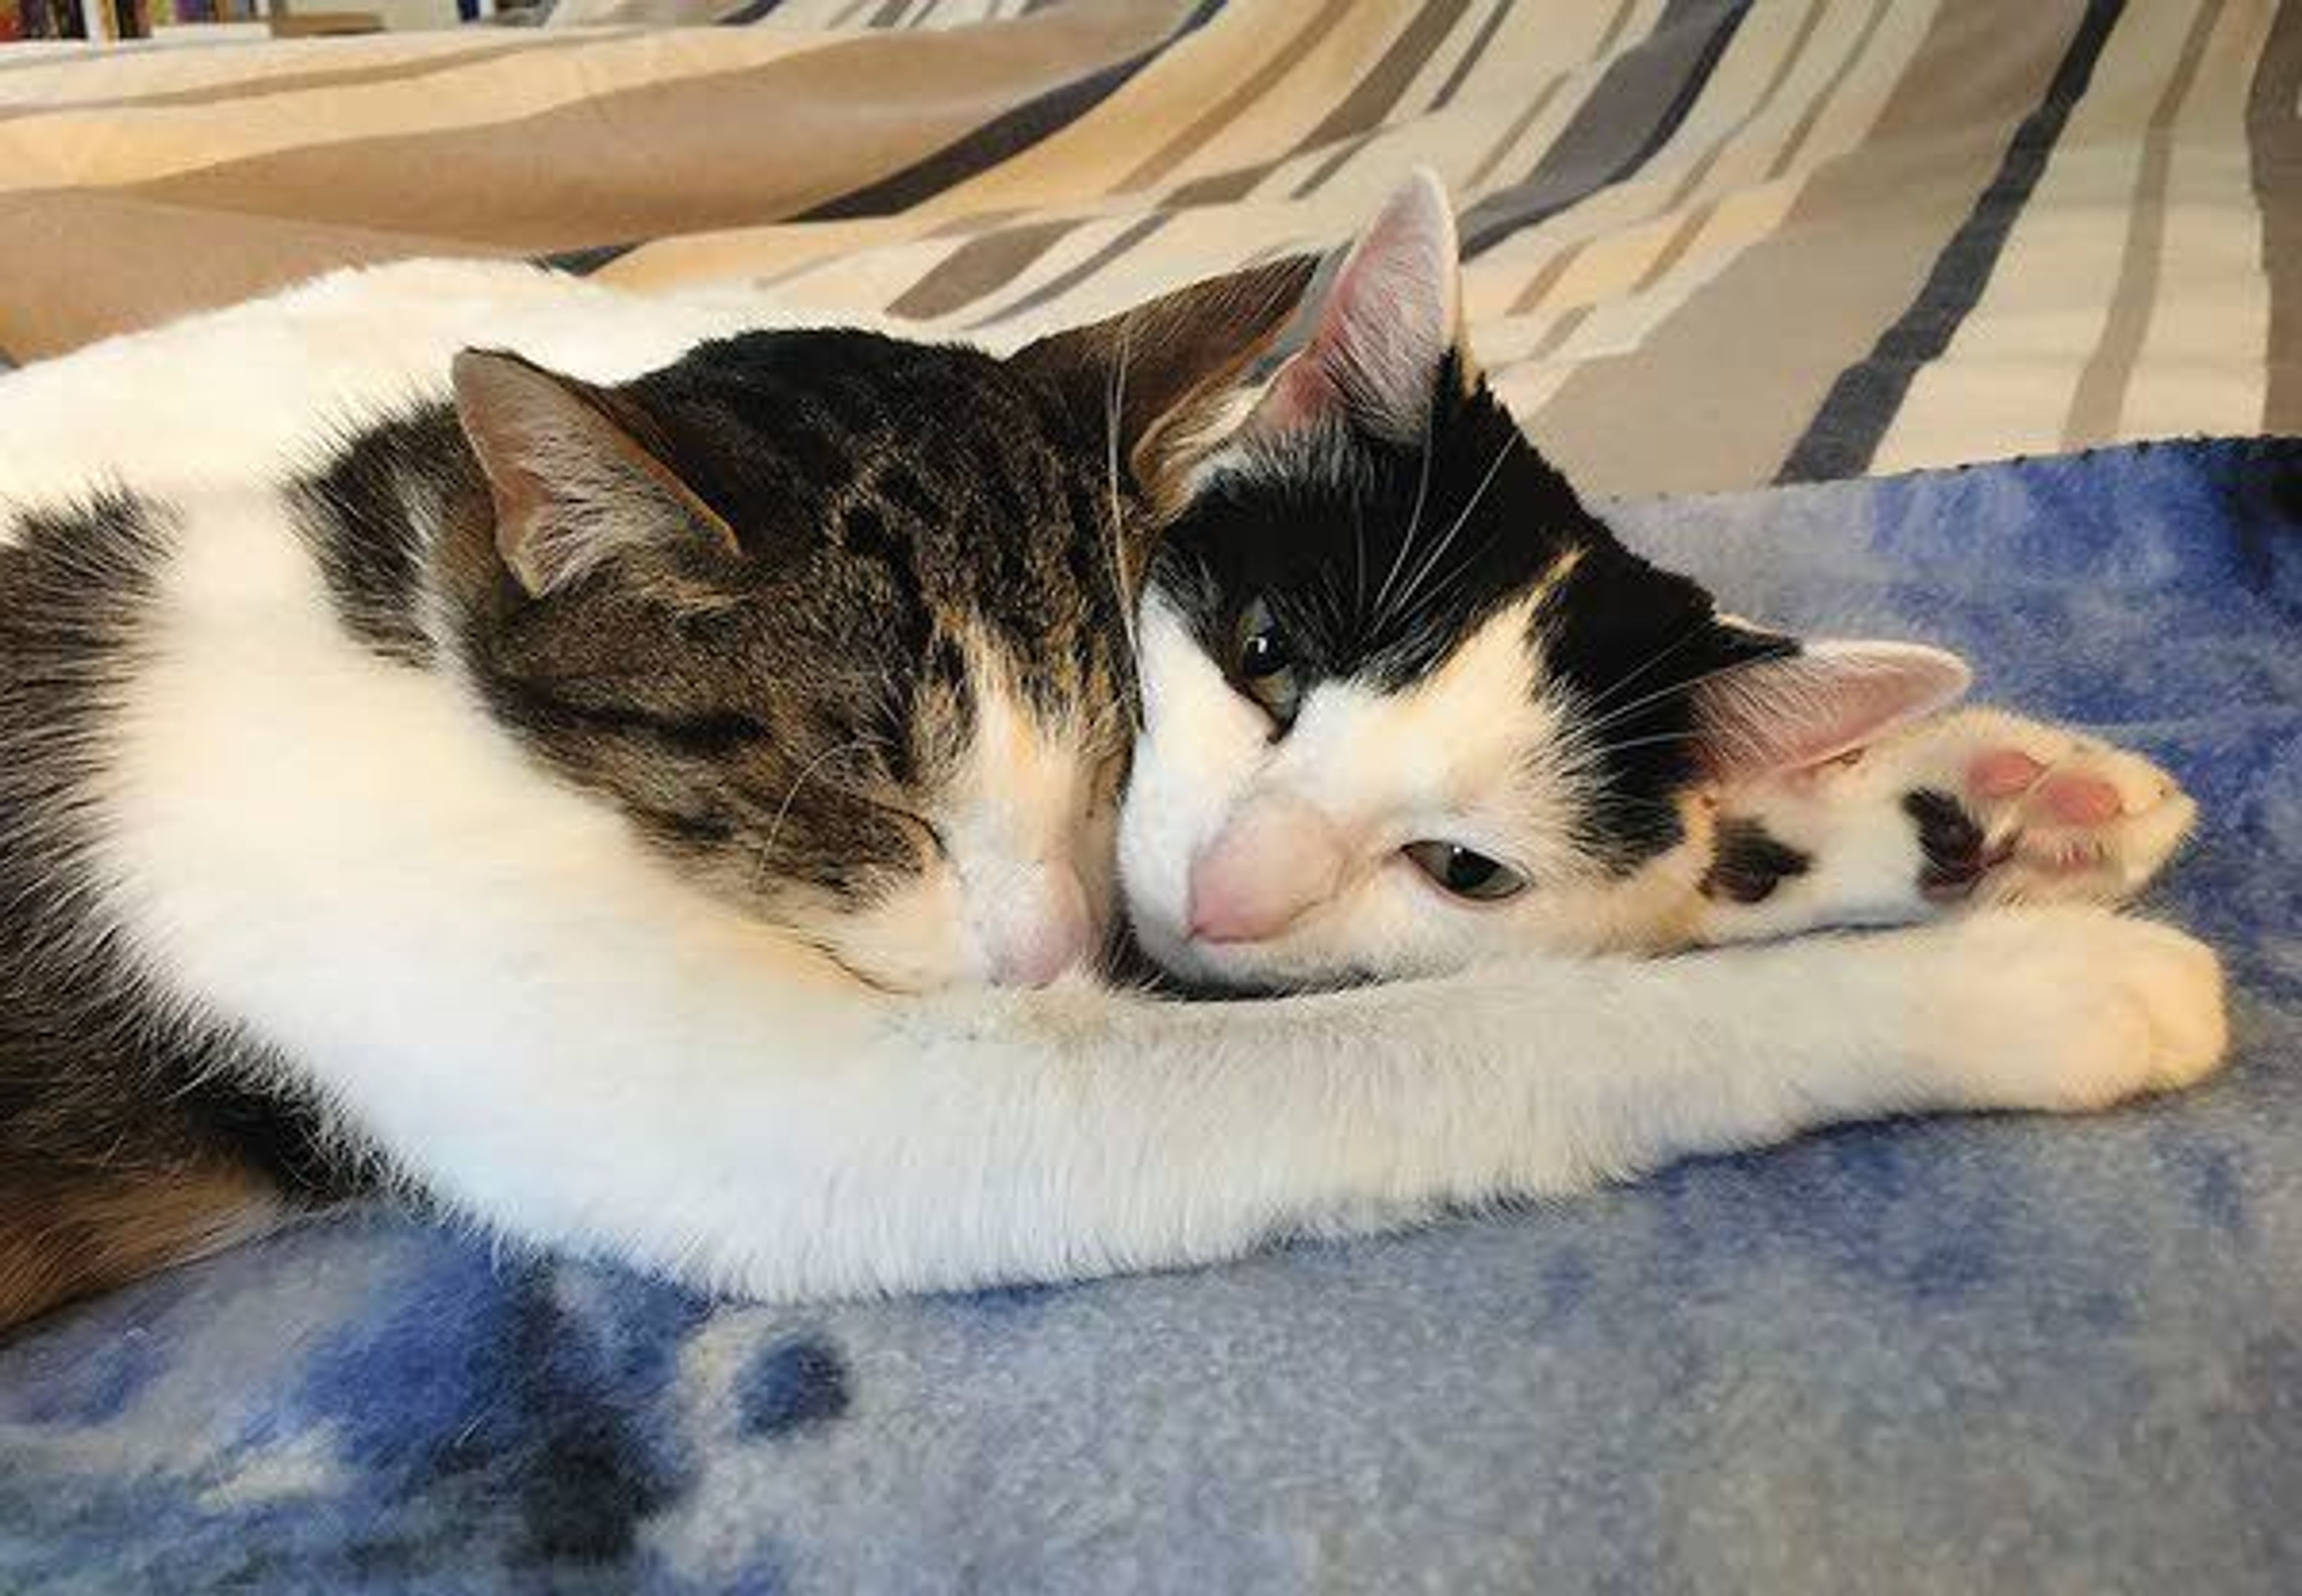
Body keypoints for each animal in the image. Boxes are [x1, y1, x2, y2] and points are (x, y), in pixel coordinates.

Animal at [0, 180, 2228, 1326]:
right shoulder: (792, 1095)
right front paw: (2022, 982)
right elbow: (1492, 1028)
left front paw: (1952, 799)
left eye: (1117, 742)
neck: (424, 618)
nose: (1068, 948)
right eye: (862, 797)